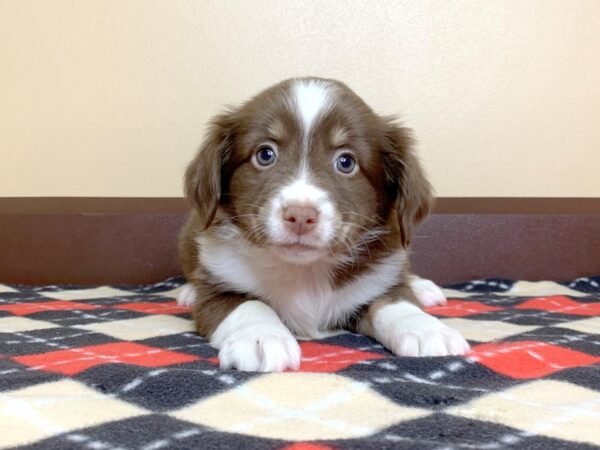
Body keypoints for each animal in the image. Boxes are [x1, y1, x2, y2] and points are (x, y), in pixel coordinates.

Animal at [178, 78, 468, 372]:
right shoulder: (217, 289)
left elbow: (394, 302)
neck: (305, 271)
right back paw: (188, 291)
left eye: (346, 162)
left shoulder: (380, 276)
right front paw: (260, 337)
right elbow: (247, 304)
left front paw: (426, 329)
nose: (300, 216)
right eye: (265, 154)